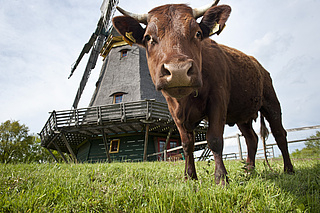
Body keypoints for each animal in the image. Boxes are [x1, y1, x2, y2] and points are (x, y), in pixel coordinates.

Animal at [112, 0, 292, 185]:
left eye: (198, 33)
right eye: (148, 37)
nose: (178, 70)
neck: (185, 101)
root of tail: (259, 65)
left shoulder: (218, 101)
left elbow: (214, 139)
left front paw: (221, 178)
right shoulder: (174, 112)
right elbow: (186, 144)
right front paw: (189, 177)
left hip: (271, 102)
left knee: (280, 134)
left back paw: (288, 169)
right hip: (242, 115)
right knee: (252, 139)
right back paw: (249, 171)